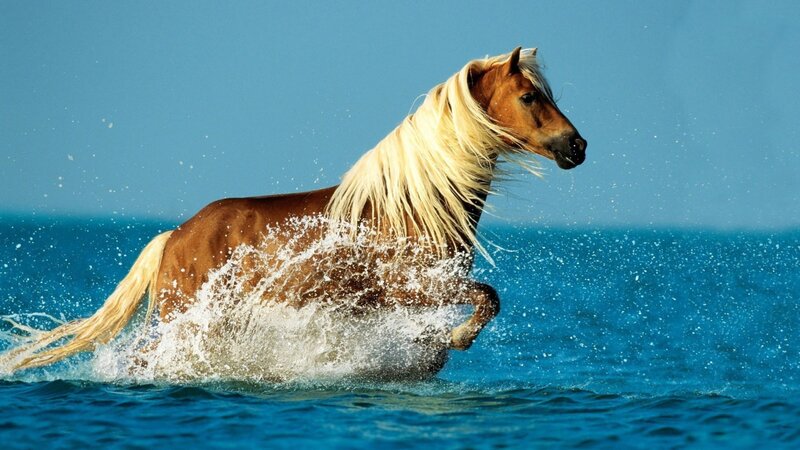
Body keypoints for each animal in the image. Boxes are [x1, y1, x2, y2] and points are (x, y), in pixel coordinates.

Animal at [2, 47, 586, 374]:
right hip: (185, 319)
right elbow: (488, 299)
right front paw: (457, 339)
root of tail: (174, 236)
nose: (576, 147)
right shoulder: (414, 287)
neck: (413, 206)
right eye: (530, 97)